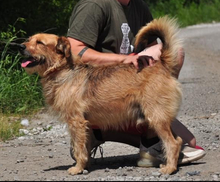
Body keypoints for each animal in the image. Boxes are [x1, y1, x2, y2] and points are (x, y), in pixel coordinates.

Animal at [19, 16, 182, 175]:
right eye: (30, 39)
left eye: (40, 43)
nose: (20, 46)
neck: (63, 71)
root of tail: (161, 64)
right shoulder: (85, 126)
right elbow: (84, 147)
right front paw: (85, 165)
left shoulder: (76, 122)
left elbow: (78, 148)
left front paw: (77, 168)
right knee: (178, 140)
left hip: (156, 117)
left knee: (172, 143)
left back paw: (169, 168)